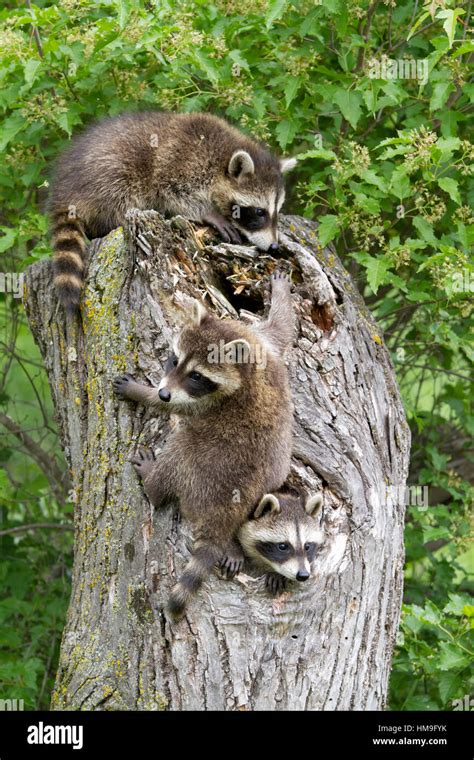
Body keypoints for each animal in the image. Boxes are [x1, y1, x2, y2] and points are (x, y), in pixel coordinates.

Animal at [47, 109, 296, 308]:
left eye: (276, 211)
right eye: (259, 212)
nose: (274, 247)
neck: (222, 156)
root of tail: (62, 192)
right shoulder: (181, 160)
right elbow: (171, 190)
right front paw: (209, 213)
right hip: (108, 172)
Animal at [113, 270, 294, 616]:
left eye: (197, 376)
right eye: (175, 360)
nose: (163, 392)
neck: (247, 367)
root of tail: (225, 506)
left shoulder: (208, 402)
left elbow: (177, 409)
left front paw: (141, 393)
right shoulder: (262, 343)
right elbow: (281, 328)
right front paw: (281, 294)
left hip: (195, 465)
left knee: (178, 452)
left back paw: (153, 480)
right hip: (272, 478)